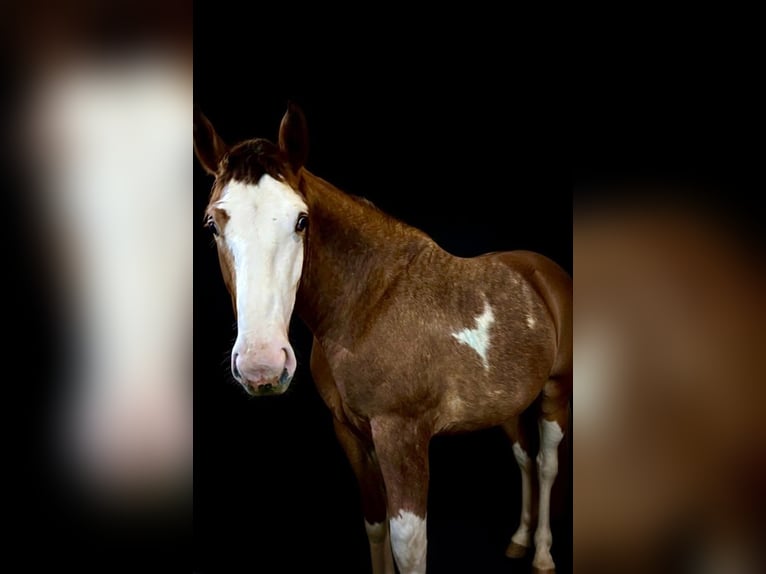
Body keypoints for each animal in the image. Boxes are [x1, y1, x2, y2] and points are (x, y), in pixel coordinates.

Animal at [194, 104, 572, 574]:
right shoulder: (351, 435)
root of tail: (543, 271)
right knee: (525, 457)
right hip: (508, 403)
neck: (368, 306)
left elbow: (407, 545)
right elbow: (375, 526)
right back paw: (519, 540)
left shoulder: (402, 437)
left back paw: (542, 553)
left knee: (548, 464)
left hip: (556, 392)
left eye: (302, 220)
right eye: (213, 224)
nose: (262, 365)